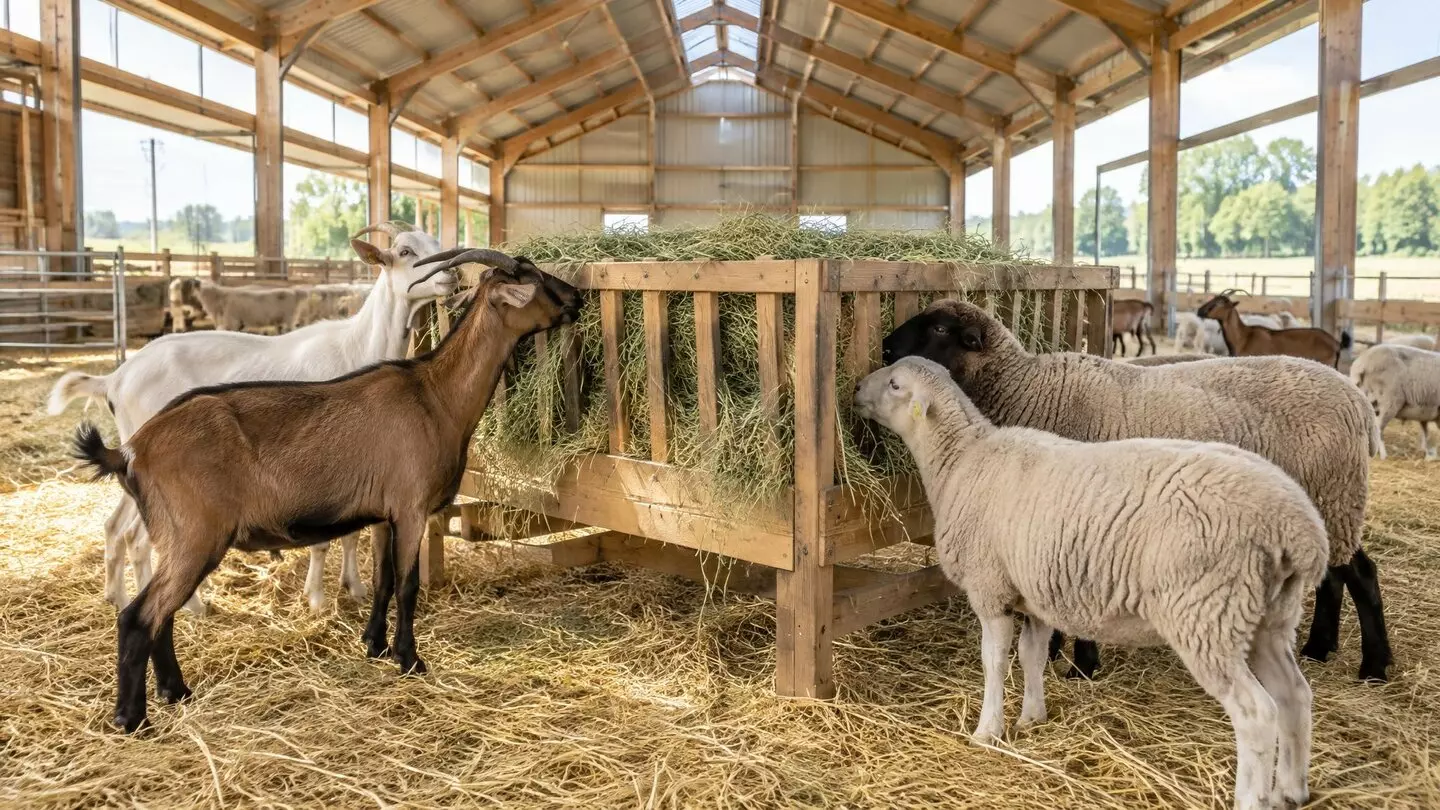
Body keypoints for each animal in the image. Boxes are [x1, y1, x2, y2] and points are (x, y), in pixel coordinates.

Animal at [48, 222, 455, 615]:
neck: (355, 346)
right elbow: (324, 540)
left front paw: (353, 588)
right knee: (137, 537)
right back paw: (188, 606)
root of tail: (116, 379)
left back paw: (116, 597)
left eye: (438, 243)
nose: (451, 275)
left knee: (114, 527)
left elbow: (351, 532)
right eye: (405, 251)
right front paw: (317, 601)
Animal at [73, 248, 584, 733]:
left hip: (178, 539)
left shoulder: (385, 512)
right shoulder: (411, 507)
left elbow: (382, 580)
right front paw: (410, 659)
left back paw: (176, 692)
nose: (576, 297)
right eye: (535, 280)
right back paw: (133, 718)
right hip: (194, 536)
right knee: (141, 616)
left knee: (161, 612)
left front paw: (374, 645)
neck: (435, 395)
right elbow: (408, 584)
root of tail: (130, 451)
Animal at [855, 357, 1324, 810]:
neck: (961, 458)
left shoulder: (990, 588)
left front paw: (988, 730)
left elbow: (993, 661)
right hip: (1266, 614)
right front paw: (1032, 716)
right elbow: (1030, 655)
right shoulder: (1035, 594)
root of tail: (1298, 527)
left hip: (1207, 612)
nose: (856, 388)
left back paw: (1252, 798)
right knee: (1294, 694)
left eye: (895, 384)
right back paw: (1291, 790)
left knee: (1256, 713)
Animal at [882, 299, 1391, 682]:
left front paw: (1081, 666)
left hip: (1333, 492)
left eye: (941, 328)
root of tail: (1357, 401)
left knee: (1361, 574)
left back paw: (1374, 665)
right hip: (1324, 503)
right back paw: (1319, 648)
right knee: (1334, 574)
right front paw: (1052, 652)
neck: (1028, 390)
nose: (886, 346)